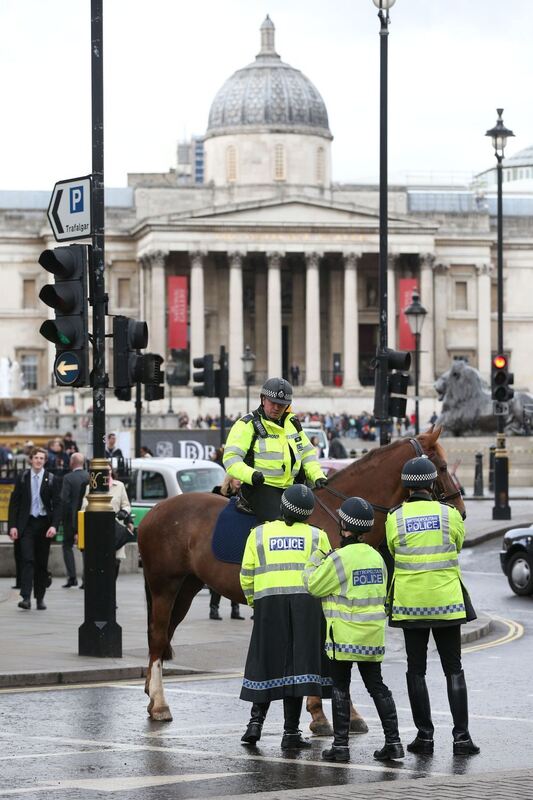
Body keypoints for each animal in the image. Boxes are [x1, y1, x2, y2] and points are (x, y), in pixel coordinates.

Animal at [139, 428, 464, 728]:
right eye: (442, 467)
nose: (461, 510)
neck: (338, 518)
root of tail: (155, 510)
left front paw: (332, 711)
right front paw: (322, 711)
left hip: (186, 587)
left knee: (163, 635)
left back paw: (151, 695)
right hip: (164, 586)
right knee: (157, 636)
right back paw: (160, 703)